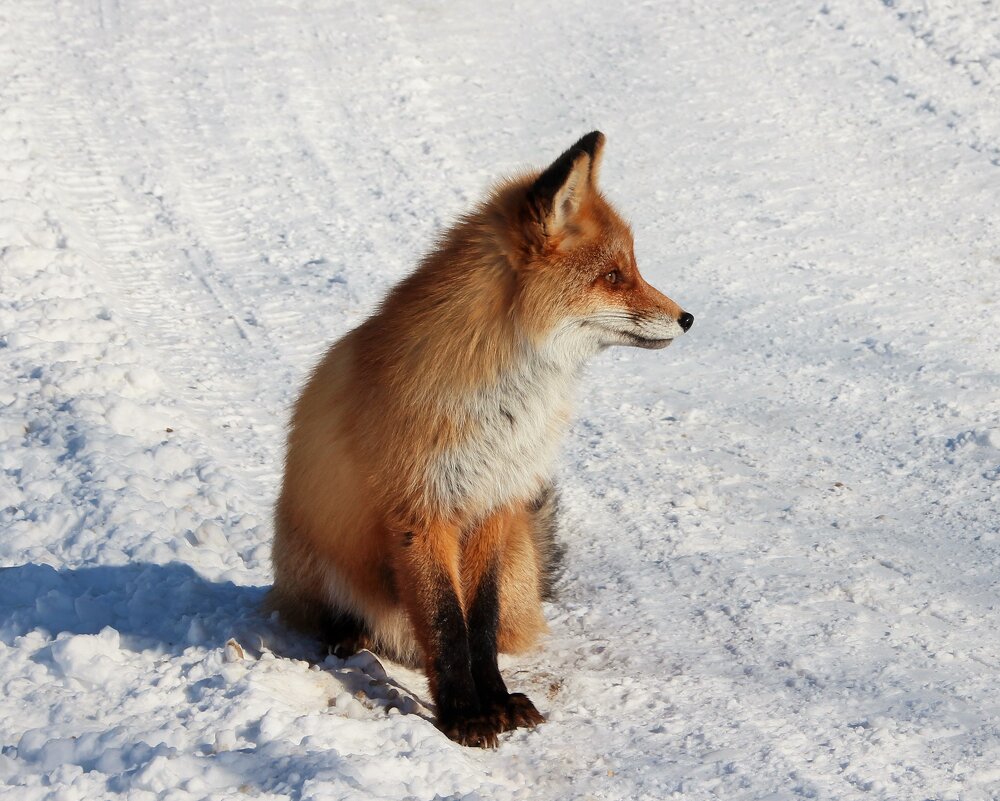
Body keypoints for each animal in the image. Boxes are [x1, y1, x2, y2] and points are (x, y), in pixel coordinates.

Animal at [266, 130, 692, 744]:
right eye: (613, 276)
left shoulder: (497, 503)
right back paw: (350, 637)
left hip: (515, 558)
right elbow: (447, 625)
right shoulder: (422, 512)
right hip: (312, 549)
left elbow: (479, 626)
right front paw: (464, 716)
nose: (687, 318)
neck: (505, 411)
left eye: (631, 267)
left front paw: (494, 700)